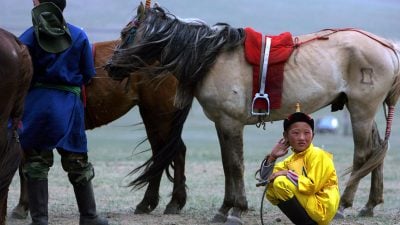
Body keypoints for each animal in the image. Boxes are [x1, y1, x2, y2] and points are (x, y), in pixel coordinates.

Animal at [10, 39, 189, 220]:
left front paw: (21, 207)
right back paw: (152, 203)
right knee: (161, 154)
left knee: (173, 153)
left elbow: (25, 168)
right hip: (154, 117)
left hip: (159, 116)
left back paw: (170, 202)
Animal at [104, 4, 398, 225]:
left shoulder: (230, 123)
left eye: (127, 32)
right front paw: (228, 208)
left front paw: (234, 209)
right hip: (362, 109)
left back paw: (344, 206)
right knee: (376, 152)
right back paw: (370, 205)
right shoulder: (222, 124)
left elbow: (234, 165)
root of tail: (387, 46)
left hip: (361, 109)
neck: (211, 58)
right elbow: (228, 165)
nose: (109, 67)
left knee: (363, 155)